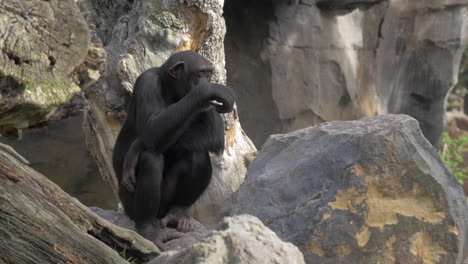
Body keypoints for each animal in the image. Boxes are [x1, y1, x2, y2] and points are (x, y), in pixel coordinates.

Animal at [112, 51, 236, 250]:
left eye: (208, 74)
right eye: (199, 74)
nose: (206, 81)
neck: (171, 92)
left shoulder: (205, 106)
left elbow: (213, 133)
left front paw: (136, 146)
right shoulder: (146, 82)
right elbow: (152, 131)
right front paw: (208, 90)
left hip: (167, 205)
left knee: (197, 155)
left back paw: (179, 213)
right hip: (129, 205)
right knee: (151, 159)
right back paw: (149, 230)